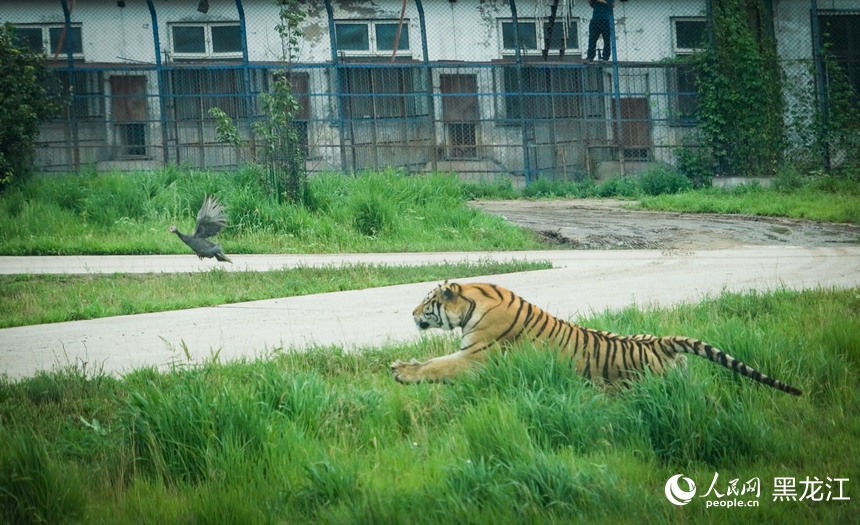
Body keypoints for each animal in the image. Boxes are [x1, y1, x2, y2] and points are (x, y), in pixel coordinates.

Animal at [394, 280, 804, 396]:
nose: (411, 314)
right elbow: (432, 362)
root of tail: (662, 342)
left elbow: (437, 366)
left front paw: (401, 372)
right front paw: (403, 365)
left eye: (427, 302)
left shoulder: (475, 358)